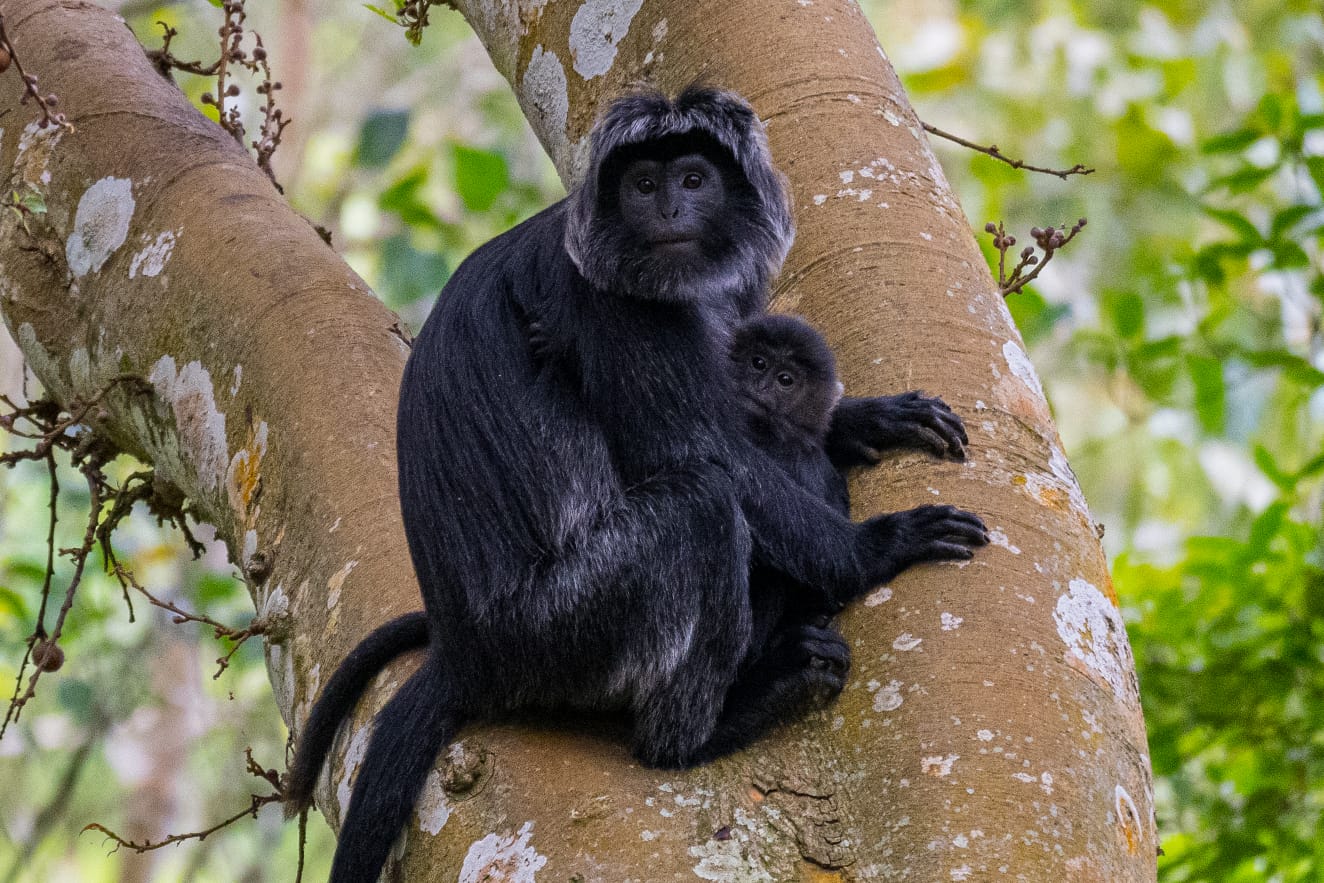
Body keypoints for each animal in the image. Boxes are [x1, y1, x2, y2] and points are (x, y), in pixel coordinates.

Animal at [286, 87, 987, 883]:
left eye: (693, 180)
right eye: (643, 186)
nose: (670, 212)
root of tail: (467, 652)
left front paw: (867, 418)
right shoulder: (607, 302)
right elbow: (703, 453)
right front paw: (877, 546)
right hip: (561, 625)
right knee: (702, 509)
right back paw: (712, 725)